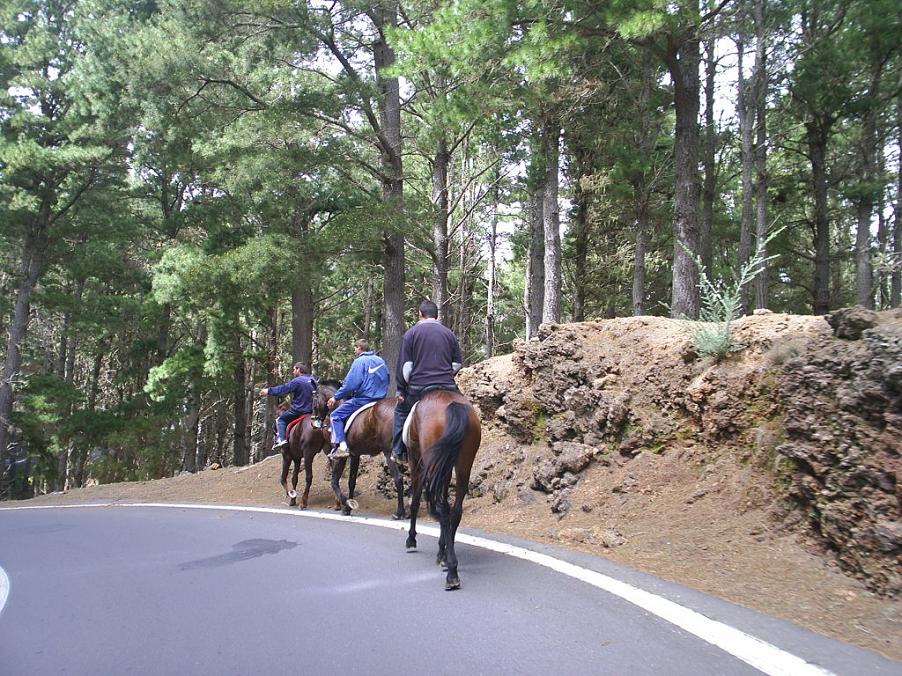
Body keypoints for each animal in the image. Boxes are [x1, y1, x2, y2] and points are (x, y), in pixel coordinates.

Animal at [406, 388, 484, 588]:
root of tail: (453, 406)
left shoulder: (416, 463)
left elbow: (415, 501)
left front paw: (411, 539)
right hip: (463, 462)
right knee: (455, 510)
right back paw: (449, 562)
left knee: (443, 507)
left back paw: (451, 571)